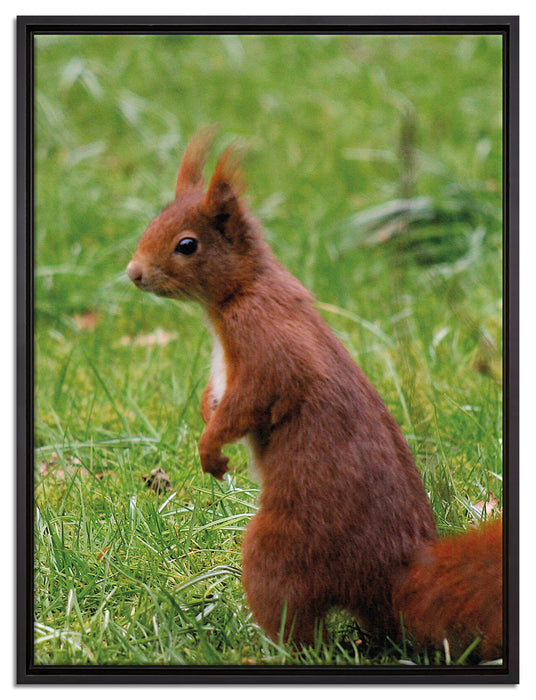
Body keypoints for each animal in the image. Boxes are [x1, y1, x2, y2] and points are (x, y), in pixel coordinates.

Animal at [126, 128, 503, 662]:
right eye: (153, 221)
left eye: (186, 245)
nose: (134, 273)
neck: (243, 290)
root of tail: (394, 576)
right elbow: (216, 398)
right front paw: (206, 419)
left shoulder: (267, 347)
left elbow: (250, 402)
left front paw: (210, 450)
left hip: (282, 551)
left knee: (300, 625)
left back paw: (268, 648)